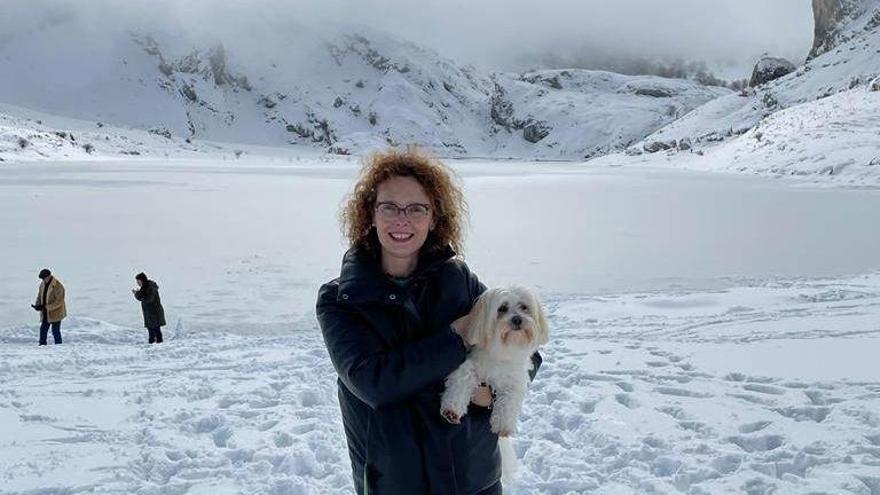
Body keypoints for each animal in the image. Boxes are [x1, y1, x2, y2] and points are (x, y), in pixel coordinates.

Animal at [444, 286, 548, 480]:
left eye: (524, 307)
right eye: (502, 309)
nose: (517, 319)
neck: (502, 354)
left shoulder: (516, 380)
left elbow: (509, 399)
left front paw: (503, 424)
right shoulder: (470, 363)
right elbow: (463, 378)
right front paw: (452, 409)